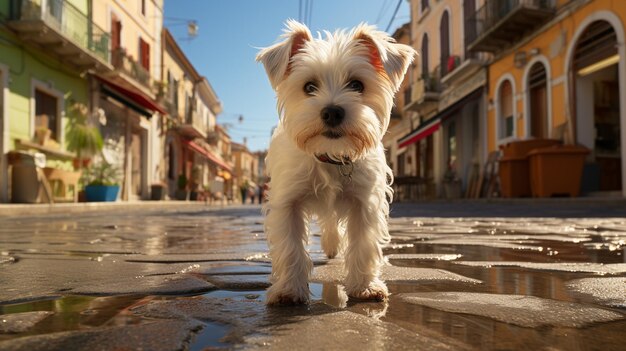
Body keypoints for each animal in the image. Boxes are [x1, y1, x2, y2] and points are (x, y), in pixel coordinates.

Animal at [256, 20, 416, 306]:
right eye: (309, 87)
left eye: (357, 85)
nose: (332, 111)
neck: (330, 157)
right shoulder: (287, 202)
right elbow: (290, 246)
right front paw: (288, 289)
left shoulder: (365, 201)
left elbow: (363, 244)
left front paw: (364, 286)